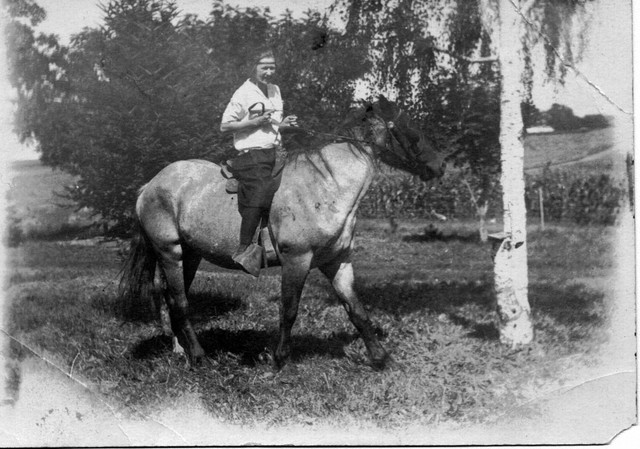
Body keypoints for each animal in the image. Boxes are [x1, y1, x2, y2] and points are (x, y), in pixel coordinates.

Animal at [119, 94, 444, 368]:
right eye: (410, 128)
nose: (439, 166)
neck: (326, 185)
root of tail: (150, 186)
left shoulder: (337, 261)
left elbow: (356, 309)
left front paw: (380, 358)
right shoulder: (296, 260)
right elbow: (289, 310)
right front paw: (280, 359)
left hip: (191, 255)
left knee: (173, 299)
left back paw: (182, 350)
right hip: (169, 252)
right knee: (180, 302)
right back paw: (199, 356)